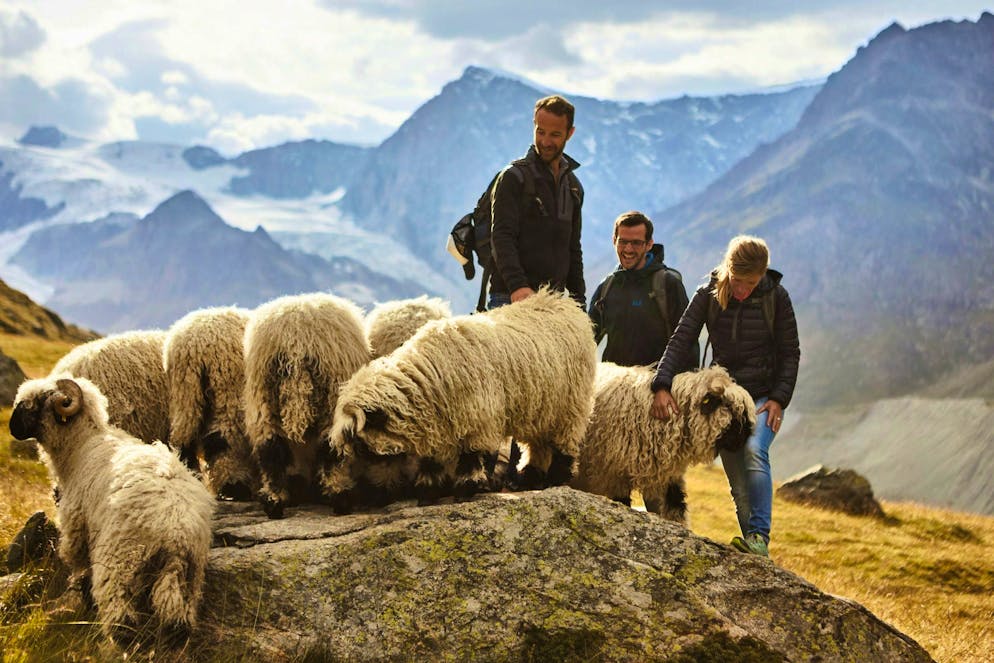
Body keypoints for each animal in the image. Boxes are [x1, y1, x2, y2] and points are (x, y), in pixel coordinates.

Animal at [8, 376, 213, 648]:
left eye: (36, 402)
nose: (12, 428)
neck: (80, 445)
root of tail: (175, 529)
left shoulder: (77, 526)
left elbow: (80, 564)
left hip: (120, 557)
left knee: (119, 611)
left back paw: (119, 643)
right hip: (189, 571)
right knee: (178, 618)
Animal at [163, 306, 260, 500]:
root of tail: (191, 345)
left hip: (185, 394)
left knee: (183, 438)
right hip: (227, 389)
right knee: (222, 437)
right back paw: (234, 487)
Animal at [243, 292, 370, 519]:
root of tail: (295, 338)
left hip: (263, 398)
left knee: (270, 448)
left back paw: (274, 502)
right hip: (332, 396)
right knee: (330, 448)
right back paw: (340, 498)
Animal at [325, 287, 597, 513]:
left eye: (360, 444)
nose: (366, 494)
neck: (430, 377)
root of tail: (561, 301)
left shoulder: (479, 420)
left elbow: (470, 457)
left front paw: (465, 489)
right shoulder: (437, 426)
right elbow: (432, 461)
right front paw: (427, 492)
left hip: (571, 404)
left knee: (564, 441)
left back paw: (557, 477)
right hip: (541, 407)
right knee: (538, 444)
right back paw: (531, 478)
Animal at [572, 363, 756, 525]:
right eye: (729, 407)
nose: (746, 438)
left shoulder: (669, 475)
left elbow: (676, 506)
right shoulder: (615, 474)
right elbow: (622, 504)